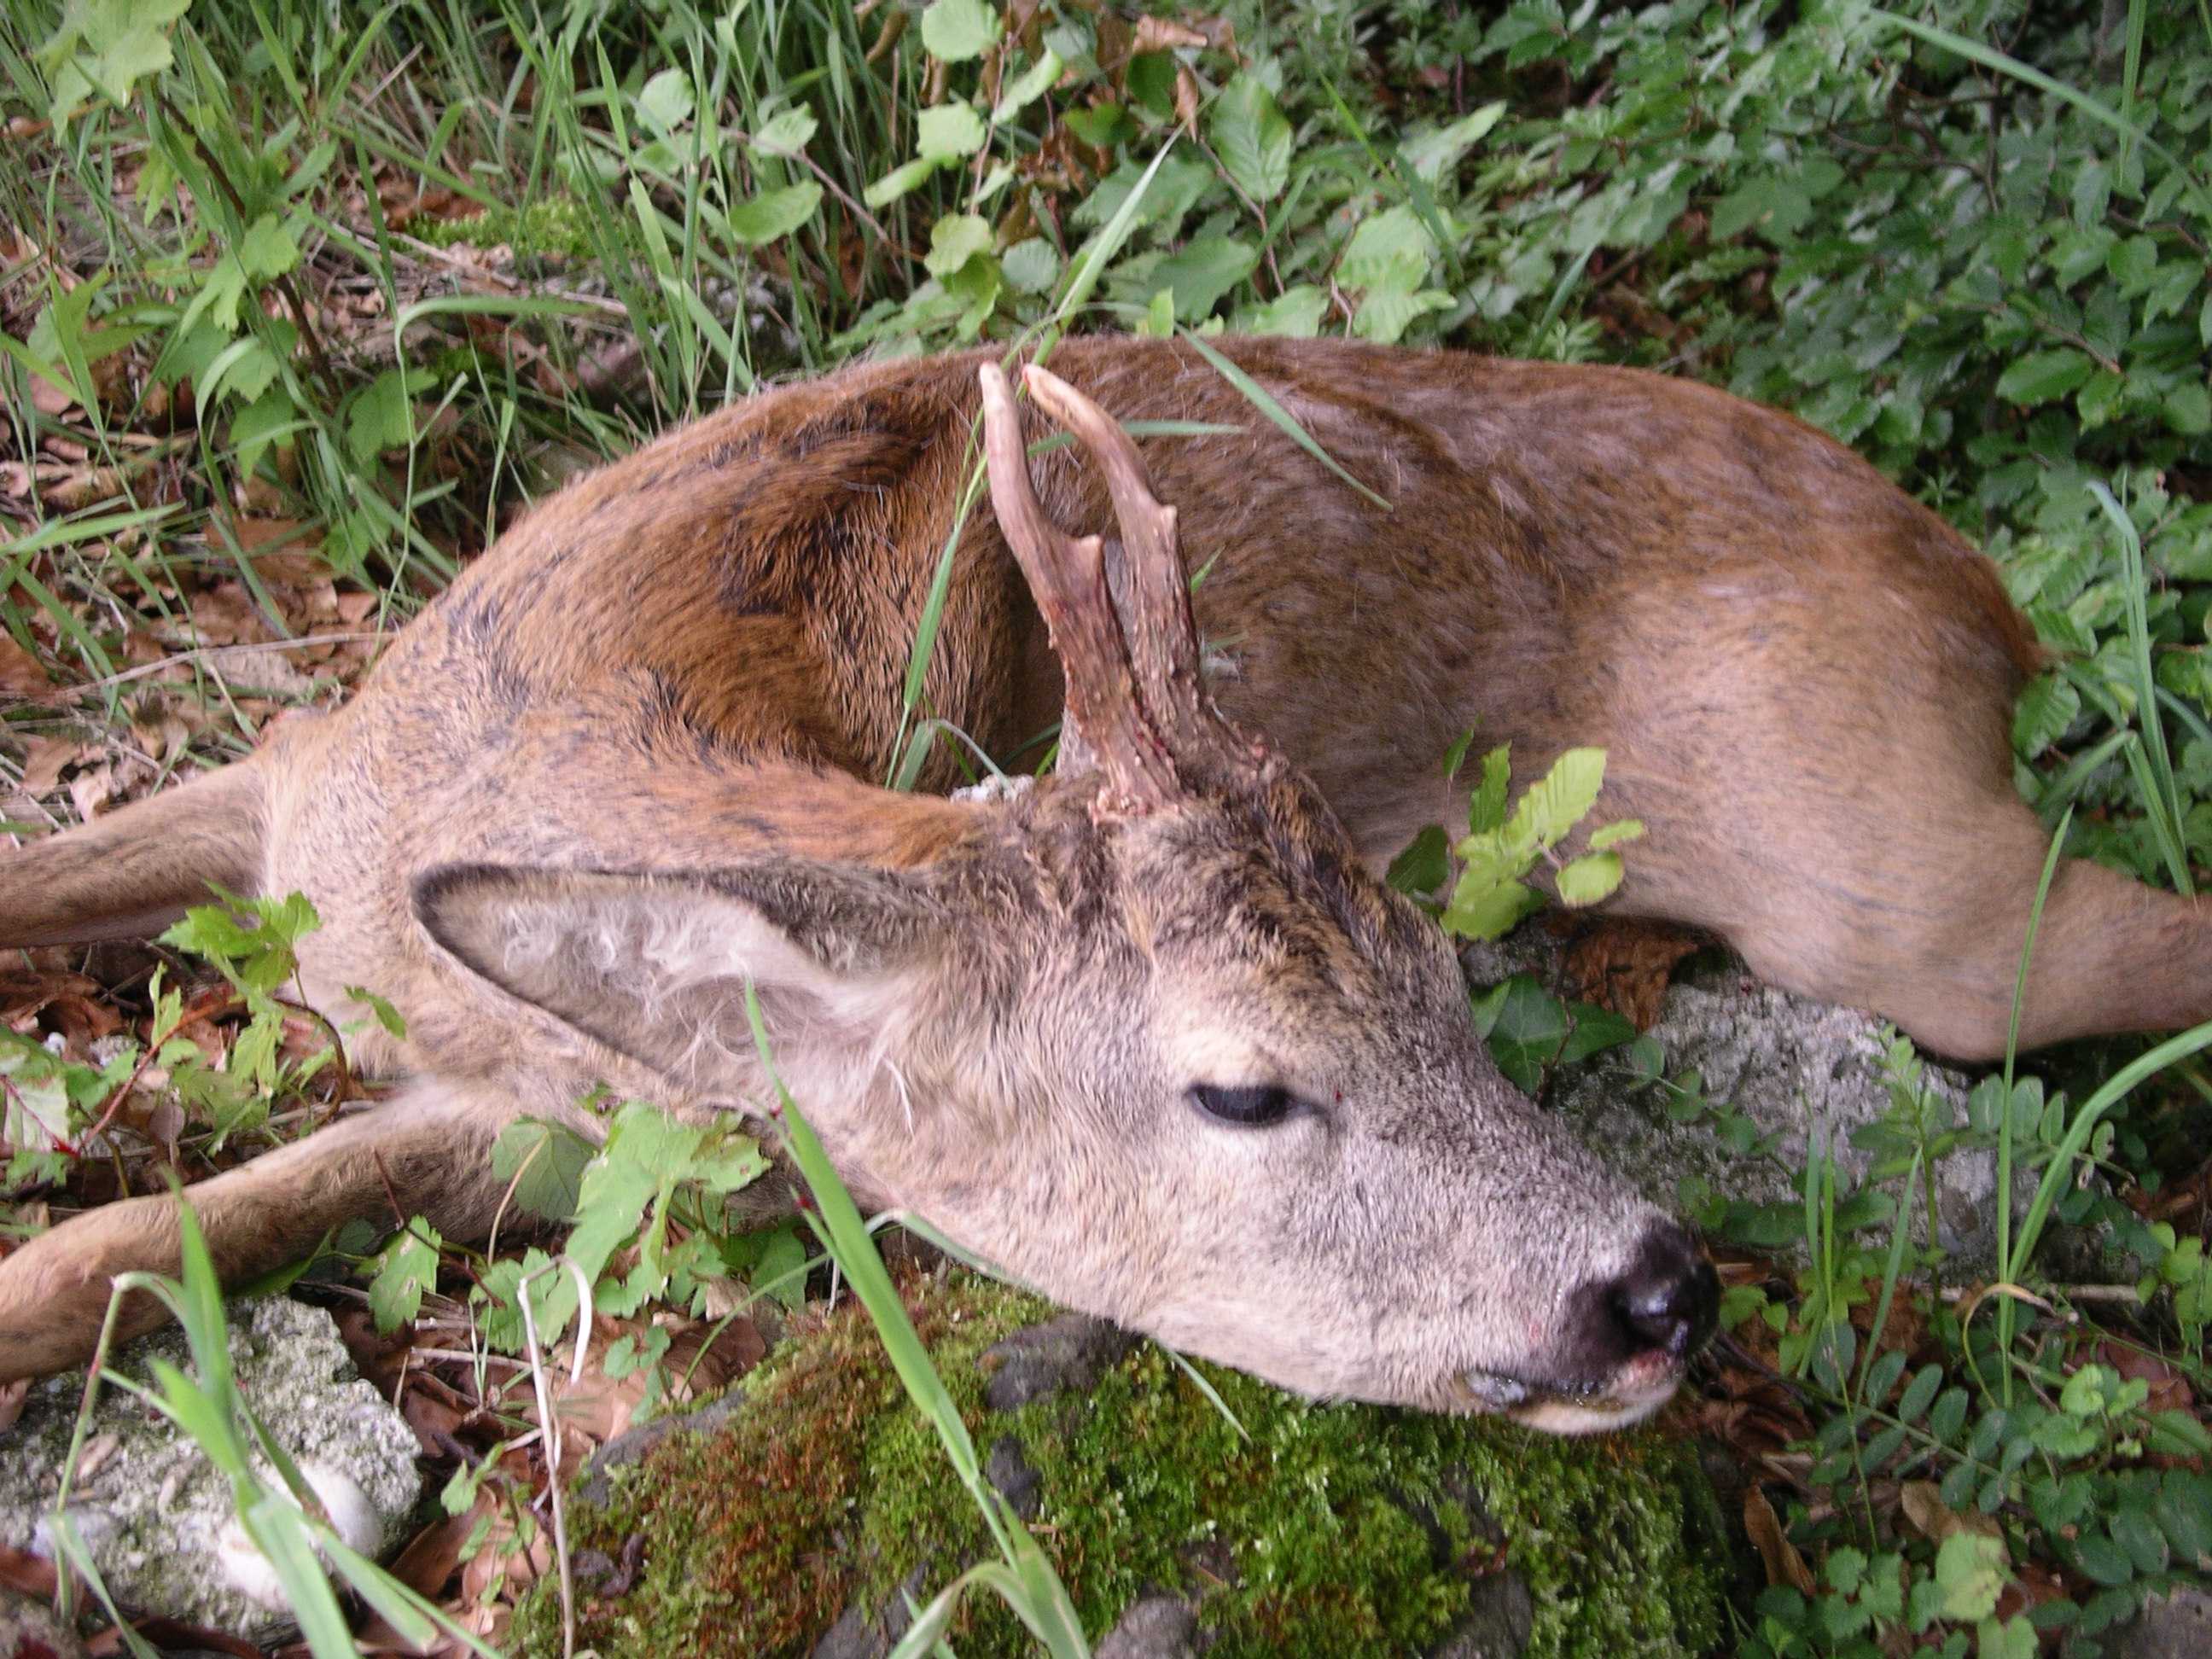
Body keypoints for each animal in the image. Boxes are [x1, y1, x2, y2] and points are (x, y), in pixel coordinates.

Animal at [4, 338, 2194, 1433]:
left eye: (1443, 983)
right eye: (1244, 1085)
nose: (1661, 1285)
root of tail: (1980, 594)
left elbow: (121, 1250)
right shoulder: (295, 783)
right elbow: (105, 1213)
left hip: (1899, 884)